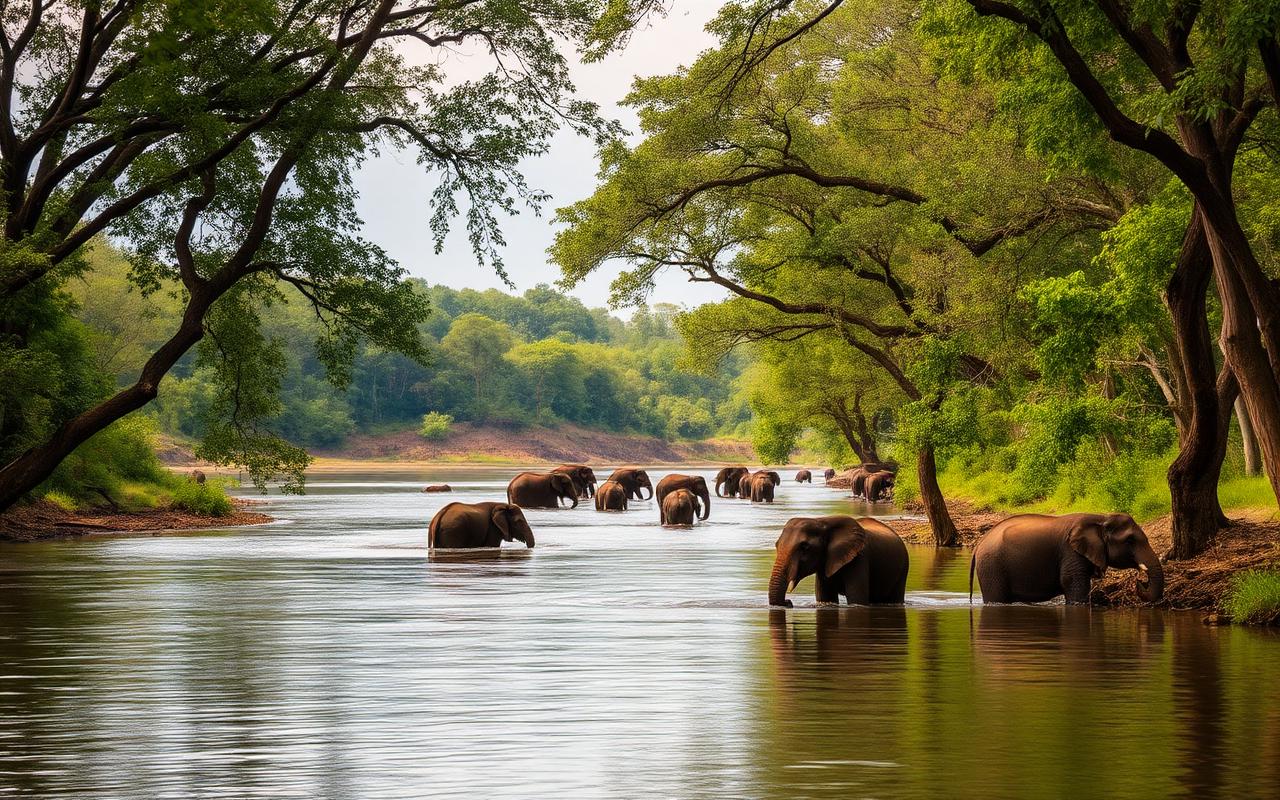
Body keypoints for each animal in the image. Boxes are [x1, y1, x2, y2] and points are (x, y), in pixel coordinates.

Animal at [768, 515, 909, 607]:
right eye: (776, 545)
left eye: (805, 547)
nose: (788, 602)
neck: (822, 521)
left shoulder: (859, 558)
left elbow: (857, 599)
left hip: (903, 568)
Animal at [969, 512, 1165, 605]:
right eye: (1130, 540)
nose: (1139, 582)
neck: (1101, 518)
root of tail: (978, 545)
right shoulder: (1071, 552)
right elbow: (1071, 582)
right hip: (991, 566)